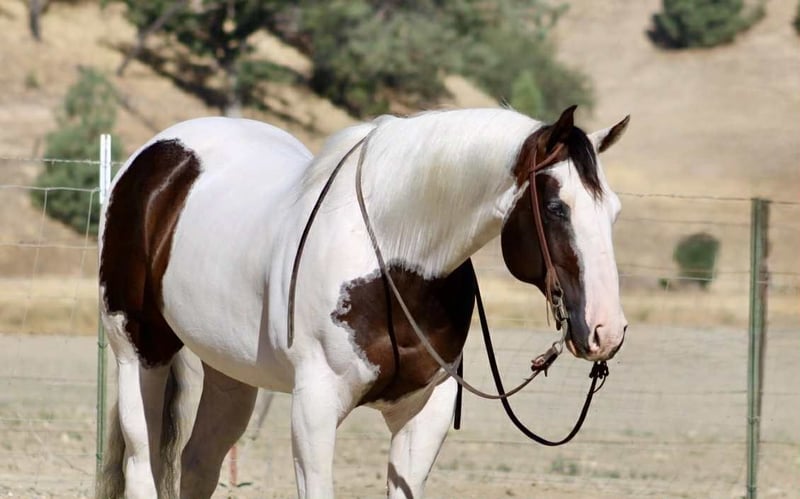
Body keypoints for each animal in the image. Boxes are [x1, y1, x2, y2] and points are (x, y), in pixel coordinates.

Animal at [98, 105, 629, 498]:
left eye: (614, 211)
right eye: (557, 208)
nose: (607, 330)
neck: (394, 263)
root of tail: (156, 155)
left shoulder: (424, 415)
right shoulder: (314, 408)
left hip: (231, 373)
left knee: (199, 461)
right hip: (139, 351)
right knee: (142, 462)